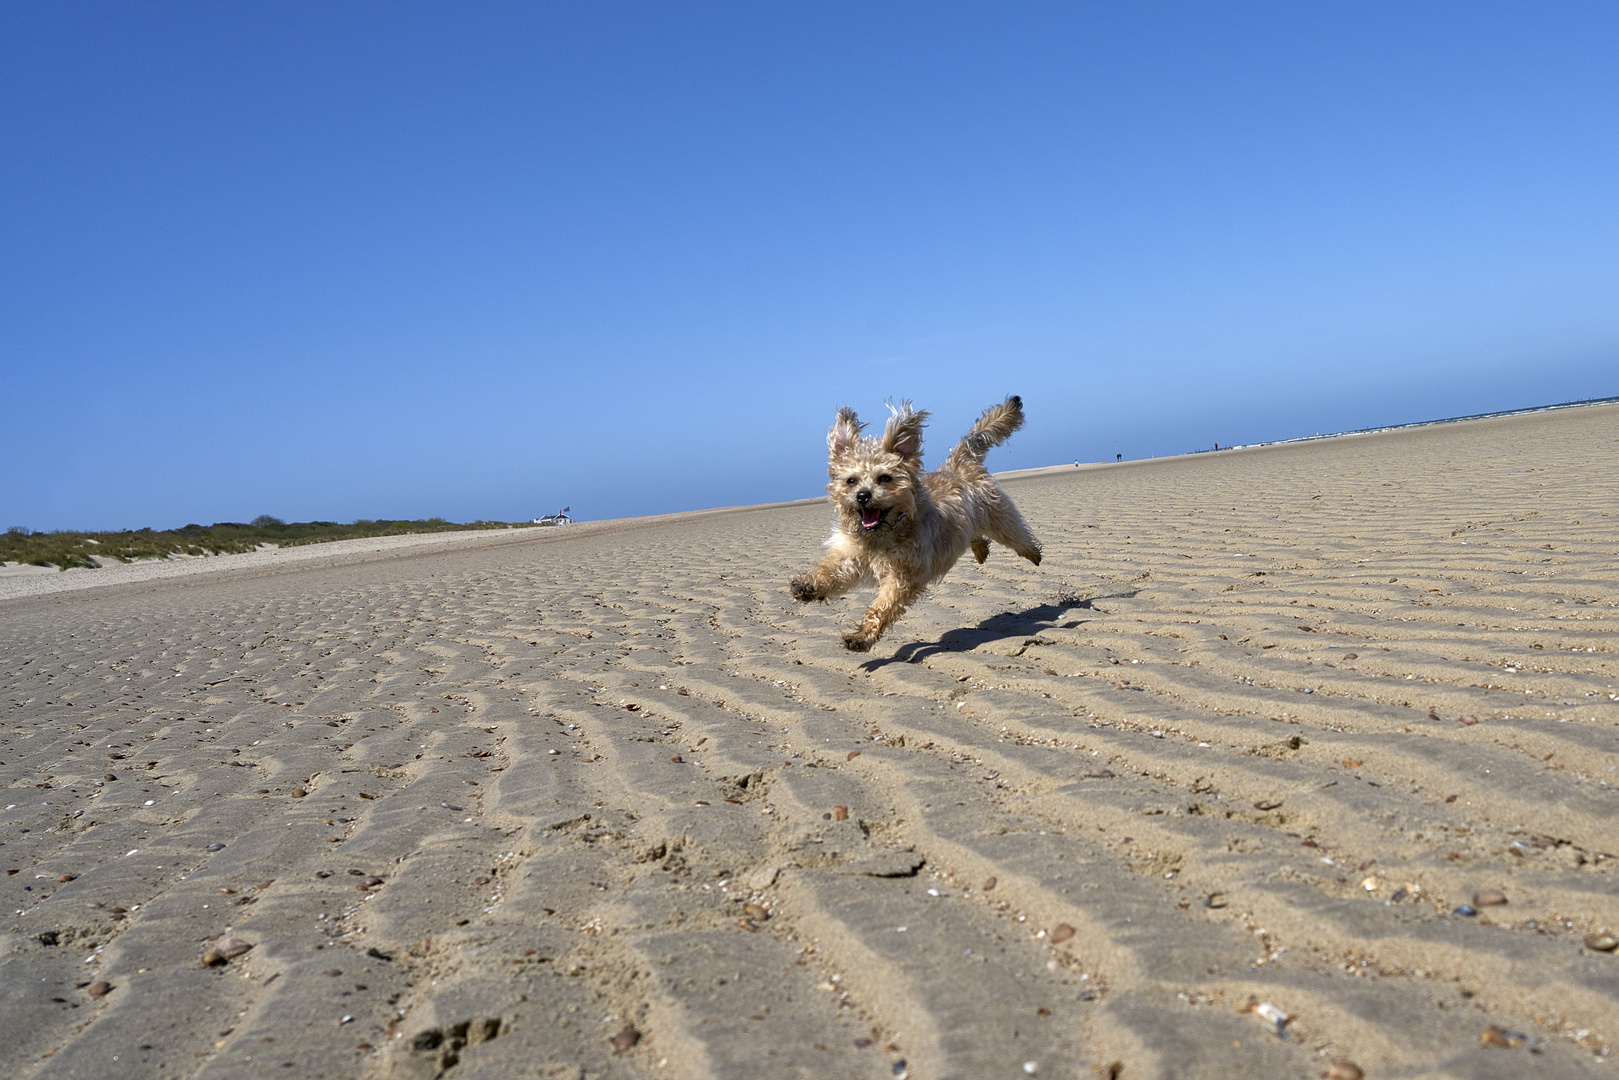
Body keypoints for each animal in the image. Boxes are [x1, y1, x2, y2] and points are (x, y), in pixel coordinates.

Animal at [790, 396, 1042, 650]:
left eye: (884, 478)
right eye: (851, 481)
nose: (862, 496)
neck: (883, 534)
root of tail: (960, 462)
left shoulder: (903, 575)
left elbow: (881, 607)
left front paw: (862, 636)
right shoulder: (852, 555)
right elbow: (834, 571)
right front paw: (810, 586)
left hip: (999, 517)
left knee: (1017, 535)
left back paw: (1033, 553)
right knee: (973, 534)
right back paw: (980, 550)